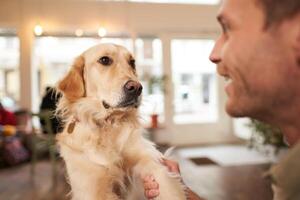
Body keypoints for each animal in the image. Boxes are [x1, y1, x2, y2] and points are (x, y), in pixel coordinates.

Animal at [56, 43, 186, 199]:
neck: (109, 125)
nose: (136, 88)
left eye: (132, 62)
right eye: (104, 60)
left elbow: (170, 189)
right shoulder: (92, 187)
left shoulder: (151, 160)